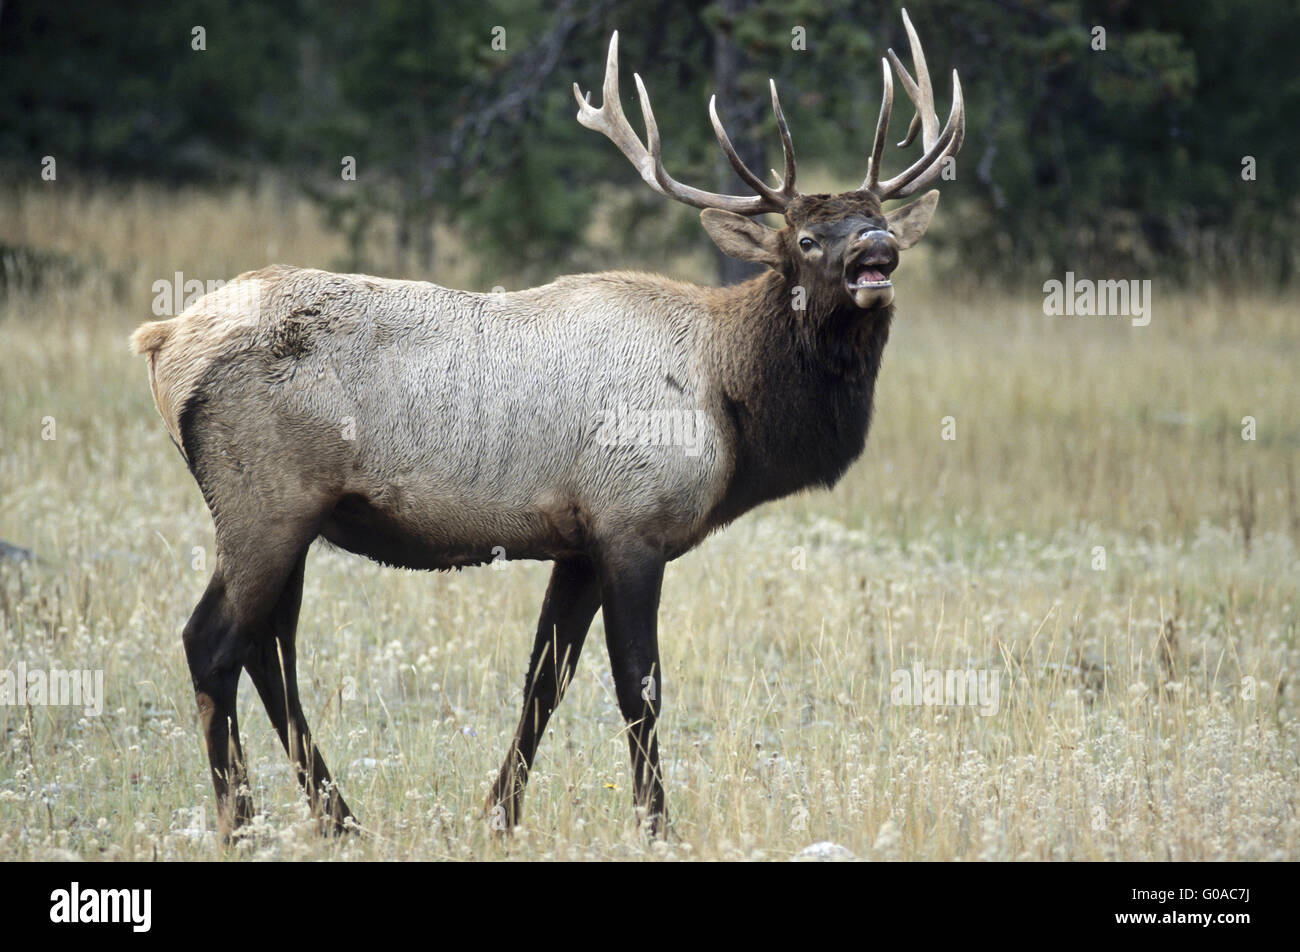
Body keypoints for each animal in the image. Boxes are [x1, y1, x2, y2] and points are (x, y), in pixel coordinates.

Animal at [131, 11, 967, 837]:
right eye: (805, 238)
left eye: (879, 218)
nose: (877, 250)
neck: (730, 404)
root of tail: (162, 341)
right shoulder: (632, 523)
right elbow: (638, 687)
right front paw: (657, 824)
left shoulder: (578, 542)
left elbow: (545, 680)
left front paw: (499, 813)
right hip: (264, 500)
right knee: (213, 643)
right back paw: (242, 821)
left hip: (296, 516)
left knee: (269, 651)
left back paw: (339, 819)